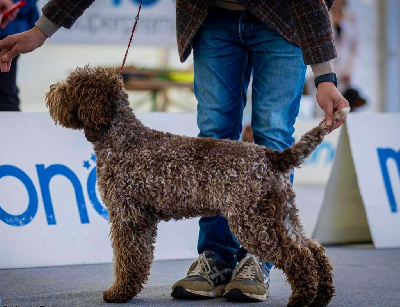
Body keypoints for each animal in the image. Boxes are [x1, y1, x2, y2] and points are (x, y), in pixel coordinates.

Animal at [45, 66, 348, 306]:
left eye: (71, 86)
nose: (51, 92)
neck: (122, 138)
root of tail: (273, 156)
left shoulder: (127, 216)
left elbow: (128, 259)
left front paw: (119, 292)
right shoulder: (140, 219)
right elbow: (138, 258)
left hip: (254, 223)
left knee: (299, 258)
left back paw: (302, 299)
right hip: (283, 216)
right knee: (315, 250)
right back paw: (322, 296)